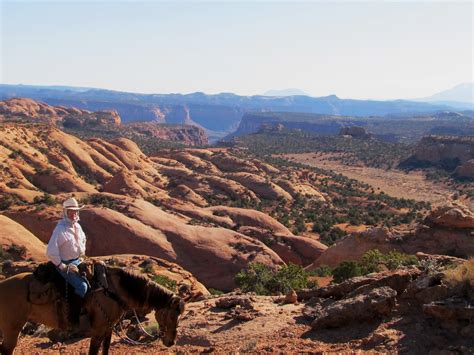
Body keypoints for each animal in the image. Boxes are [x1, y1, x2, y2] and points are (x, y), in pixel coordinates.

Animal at [0, 266, 186, 354]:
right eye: (171, 316)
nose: (171, 342)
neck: (114, 291)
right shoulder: (97, 330)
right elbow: (93, 352)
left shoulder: (108, 329)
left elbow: (105, 350)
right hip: (12, 327)